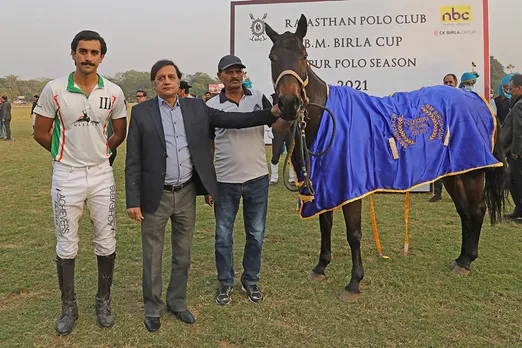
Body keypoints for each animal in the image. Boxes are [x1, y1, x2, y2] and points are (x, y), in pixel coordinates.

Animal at [264, 14, 504, 300]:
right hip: (454, 172)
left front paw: (354, 283)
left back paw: (467, 261)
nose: (289, 103)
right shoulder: (324, 185)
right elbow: (325, 223)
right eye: (272, 57)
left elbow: (353, 233)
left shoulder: (350, 186)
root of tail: (475, 97)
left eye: (303, 55)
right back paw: (461, 259)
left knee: (477, 210)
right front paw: (320, 267)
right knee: (464, 211)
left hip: (473, 172)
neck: (326, 121)